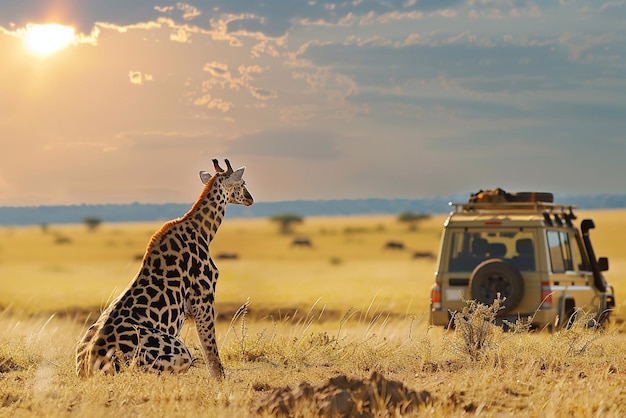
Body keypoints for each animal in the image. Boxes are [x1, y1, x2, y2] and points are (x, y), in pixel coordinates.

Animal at [77, 158, 252, 378]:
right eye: (243, 183)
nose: (250, 199)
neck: (203, 231)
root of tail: (91, 367)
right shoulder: (203, 297)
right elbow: (211, 352)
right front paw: (220, 381)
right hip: (179, 353)